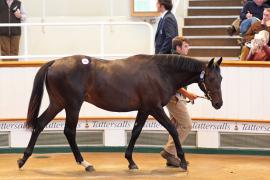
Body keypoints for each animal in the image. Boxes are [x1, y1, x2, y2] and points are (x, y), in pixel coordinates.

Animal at [17, 54, 224, 172]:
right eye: (211, 79)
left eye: (221, 78)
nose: (218, 103)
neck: (160, 71)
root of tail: (54, 63)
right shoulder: (155, 108)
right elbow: (173, 130)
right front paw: (182, 161)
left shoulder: (144, 109)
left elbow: (135, 132)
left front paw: (130, 161)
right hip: (72, 105)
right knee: (69, 131)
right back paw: (85, 163)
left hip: (58, 103)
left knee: (39, 124)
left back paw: (23, 159)